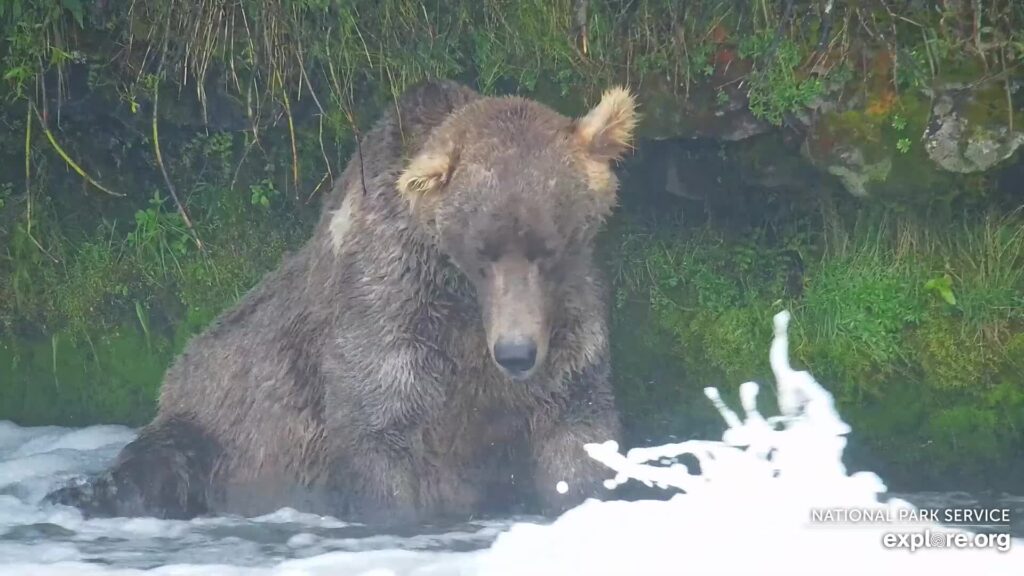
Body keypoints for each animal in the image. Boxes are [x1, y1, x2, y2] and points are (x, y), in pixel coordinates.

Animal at [49, 79, 638, 524]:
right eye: (482, 254)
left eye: (549, 249)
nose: (516, 354)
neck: (463, 306)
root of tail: (175, 372)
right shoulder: (389, 318)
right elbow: (379, 435)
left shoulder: (564, 330)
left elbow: (576, 431)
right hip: (206, 428)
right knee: (154, 467)